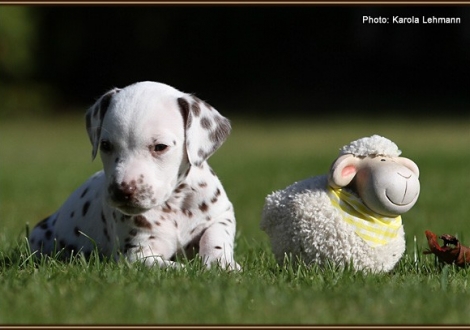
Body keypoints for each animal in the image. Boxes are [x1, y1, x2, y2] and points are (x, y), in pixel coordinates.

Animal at [28, 80, 241, 270]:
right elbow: (176, 268)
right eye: (105, 145)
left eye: (160, 147)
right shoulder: (137, 256)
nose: (121, 191)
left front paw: (221, 263)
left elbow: (216, 235)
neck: (175, 204)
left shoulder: (221, 214)